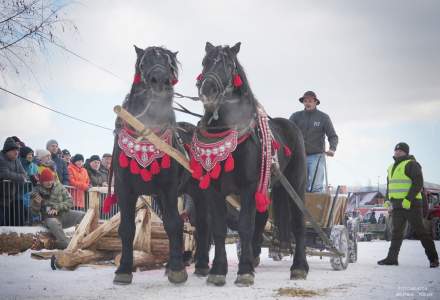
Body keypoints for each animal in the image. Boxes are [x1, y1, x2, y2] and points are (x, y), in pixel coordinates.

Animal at [111, 45, 192, 284]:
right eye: (142, 63)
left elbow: (173, 224)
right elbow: (127, 229)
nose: (160, 81)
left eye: (171, 65)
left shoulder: (168, 188)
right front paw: (123, 269)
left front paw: (177, 270)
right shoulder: (125, 188)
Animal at [192, 41, 310, 286]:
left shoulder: (248, 186)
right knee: (263, 218)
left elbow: (246, 225)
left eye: (229, 65)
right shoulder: (214, 189)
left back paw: (299, 267)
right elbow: (219, 229)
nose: (208, 89)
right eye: (204, 61)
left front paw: (245, 271)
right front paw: (218, 271)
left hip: (296, 184)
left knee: (298, 222)